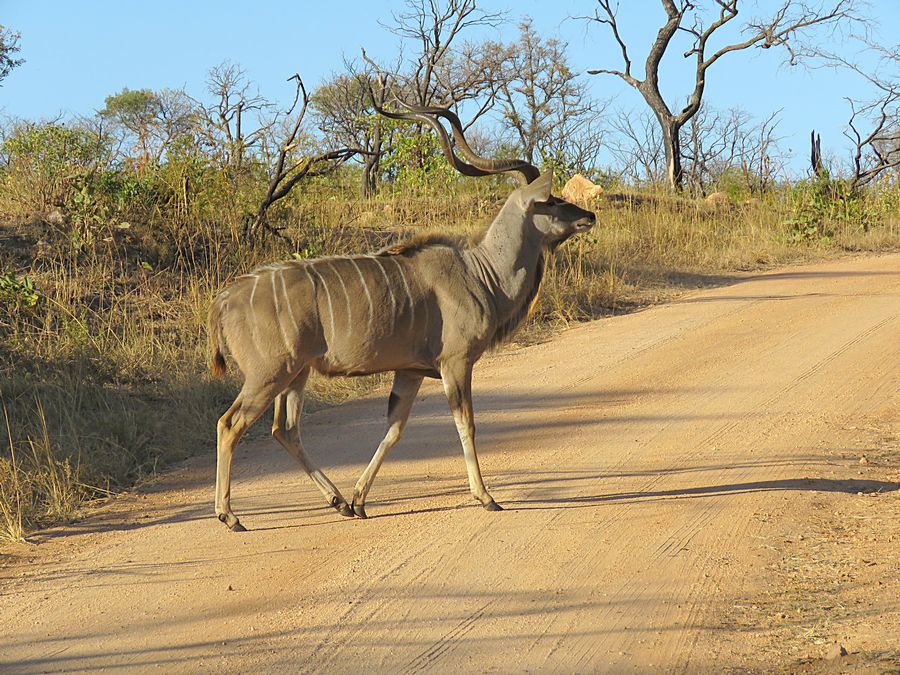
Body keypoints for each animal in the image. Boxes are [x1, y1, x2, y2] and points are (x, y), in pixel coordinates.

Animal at [207, 104, 596, 532]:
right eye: (552, 201)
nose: (590, 215)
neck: (481, 272)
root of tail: (224, 299)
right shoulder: (456, 363)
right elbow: (466, 423)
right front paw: (486, 497)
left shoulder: (409, 372)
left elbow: (393, 430)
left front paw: (360, 500)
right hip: (269, 374)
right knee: (230, 424)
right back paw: (230, 516)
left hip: (296, 374)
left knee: (285, 430)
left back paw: (339, 502)